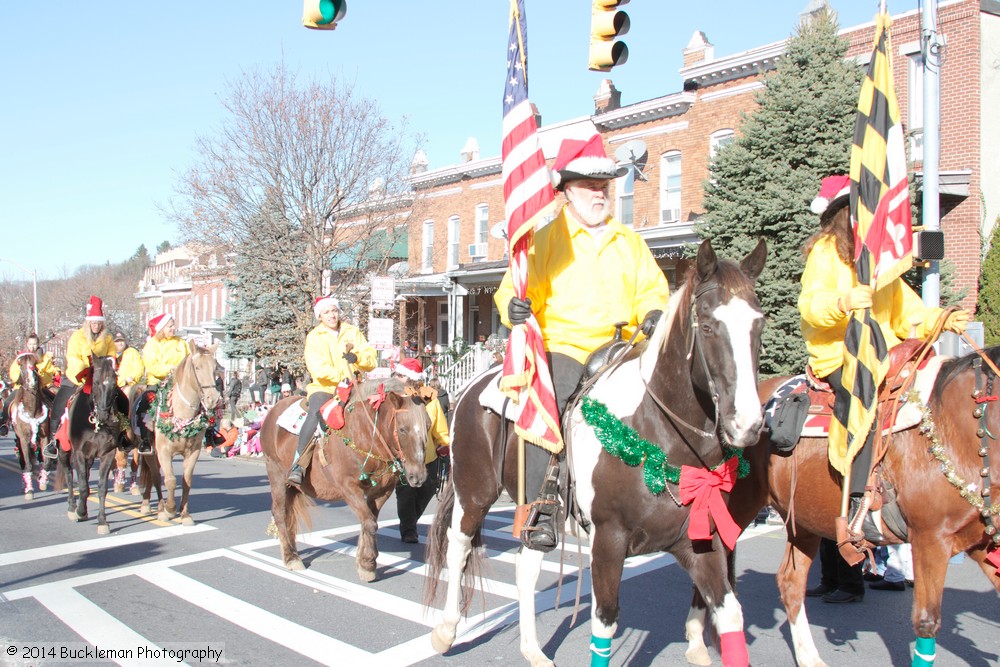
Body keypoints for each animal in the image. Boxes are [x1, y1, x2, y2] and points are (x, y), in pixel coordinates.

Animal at [138, 344, 220, 528]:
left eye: (215, 368)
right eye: (197, 367)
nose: (213, 399)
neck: (183, 416)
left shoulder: (193, 452)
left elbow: (186, 481)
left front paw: (185, 514)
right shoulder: (164, 451)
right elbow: (170, 480)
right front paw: (169, 509)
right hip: (149, 451)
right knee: (155, 476)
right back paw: (157, 507)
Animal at [260, 380, 432, 584]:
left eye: (429, 426)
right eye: (403, 429)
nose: (418, 476)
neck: (366, 434)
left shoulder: (382, 491)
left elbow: (369, 522)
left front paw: (365, 562)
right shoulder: (349, 487)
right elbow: (369, 523)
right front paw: (367, 565)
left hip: (292, 487)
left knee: (288, 515)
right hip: (276, 475)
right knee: (280, 513)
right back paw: (291, 558)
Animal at [422, 240, 764, 667]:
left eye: (759, 324)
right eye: (707, 326)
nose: (748, 424)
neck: (658, 437)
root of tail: (472, 385)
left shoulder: (701, 544)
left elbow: (730, 612)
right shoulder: (608, 541)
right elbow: (604, 621)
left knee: (525, 564)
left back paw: (533, 650)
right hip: (474, 491)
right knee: (459, 546)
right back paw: (446, 631)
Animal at [684, 348, 1000, 664]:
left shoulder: (980, 543)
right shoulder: (930, 540)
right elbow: (926, 621)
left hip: (804, 518)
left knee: (789, 582)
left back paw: (807, 656)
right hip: (737, 507)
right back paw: (697, 641)